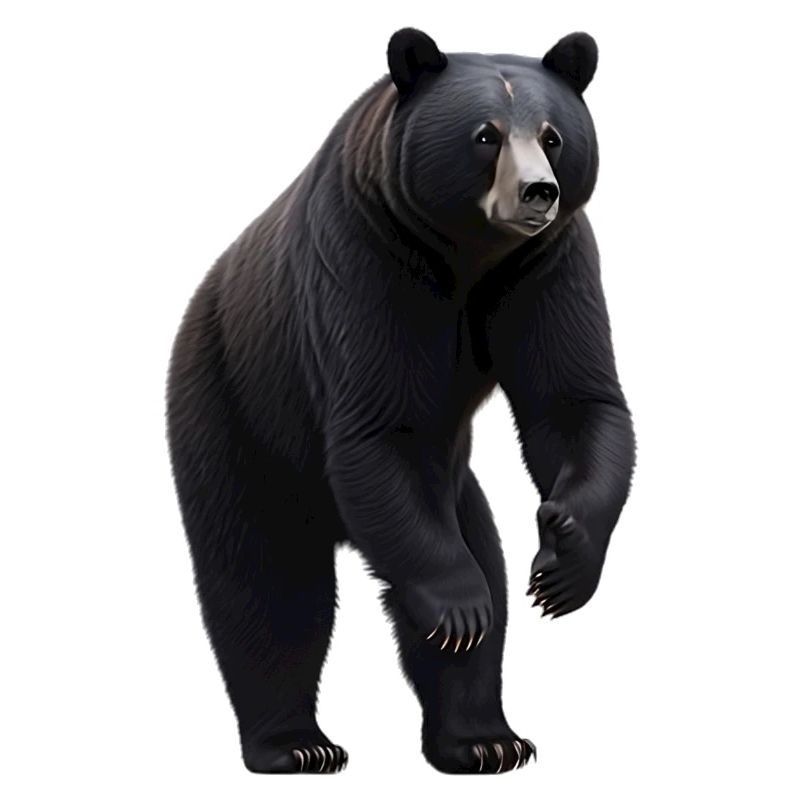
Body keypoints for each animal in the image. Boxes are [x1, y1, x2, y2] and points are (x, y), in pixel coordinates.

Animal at [166, 27, 636, 775]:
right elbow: (380, 426)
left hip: (449, 485)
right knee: (267, 581)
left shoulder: (547, 266)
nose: (539, 192)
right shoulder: (363, 259)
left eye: (554, 135)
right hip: (234, 406)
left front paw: (564, 560)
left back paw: (483, 739)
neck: (470, 254)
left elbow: (573, 400)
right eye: (485, 134)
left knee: (479, 556)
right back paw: (296, 745)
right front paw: (459, 608)